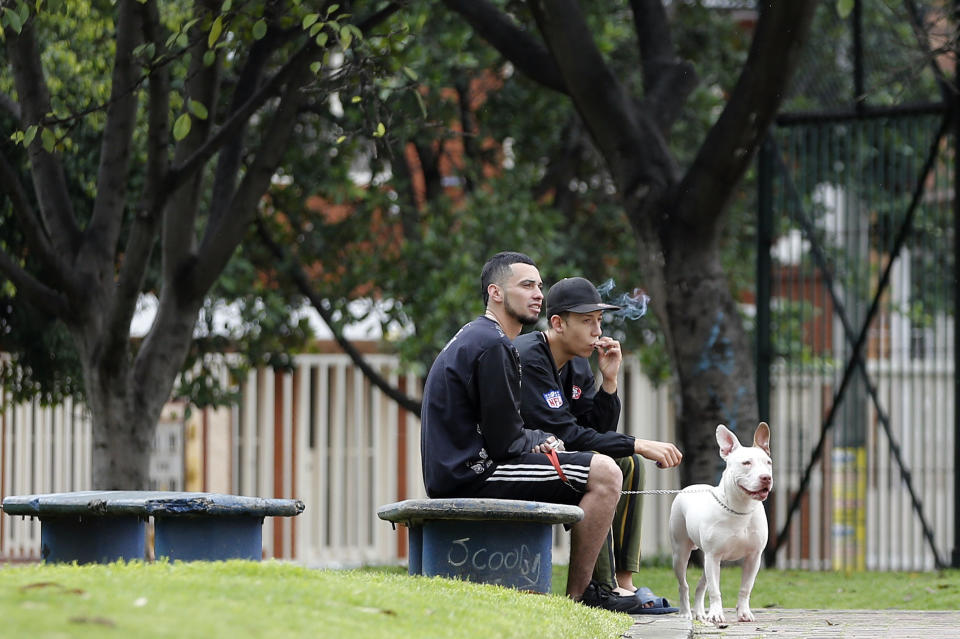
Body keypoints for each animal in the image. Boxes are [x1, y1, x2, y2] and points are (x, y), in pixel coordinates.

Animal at [668, 422, 772, 624]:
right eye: (746, 463)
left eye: (768, 463)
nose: (766, 477)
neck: (741, 509)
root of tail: (690, 487)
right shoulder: (713, 556)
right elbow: (715, 590)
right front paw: (716, 614)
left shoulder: (753, 557)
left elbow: (745, 588)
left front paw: (743, 613)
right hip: (681, 554)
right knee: (684, 584)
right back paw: (685, 613)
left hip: (709, 561)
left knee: (701, 585)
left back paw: (701, 613)